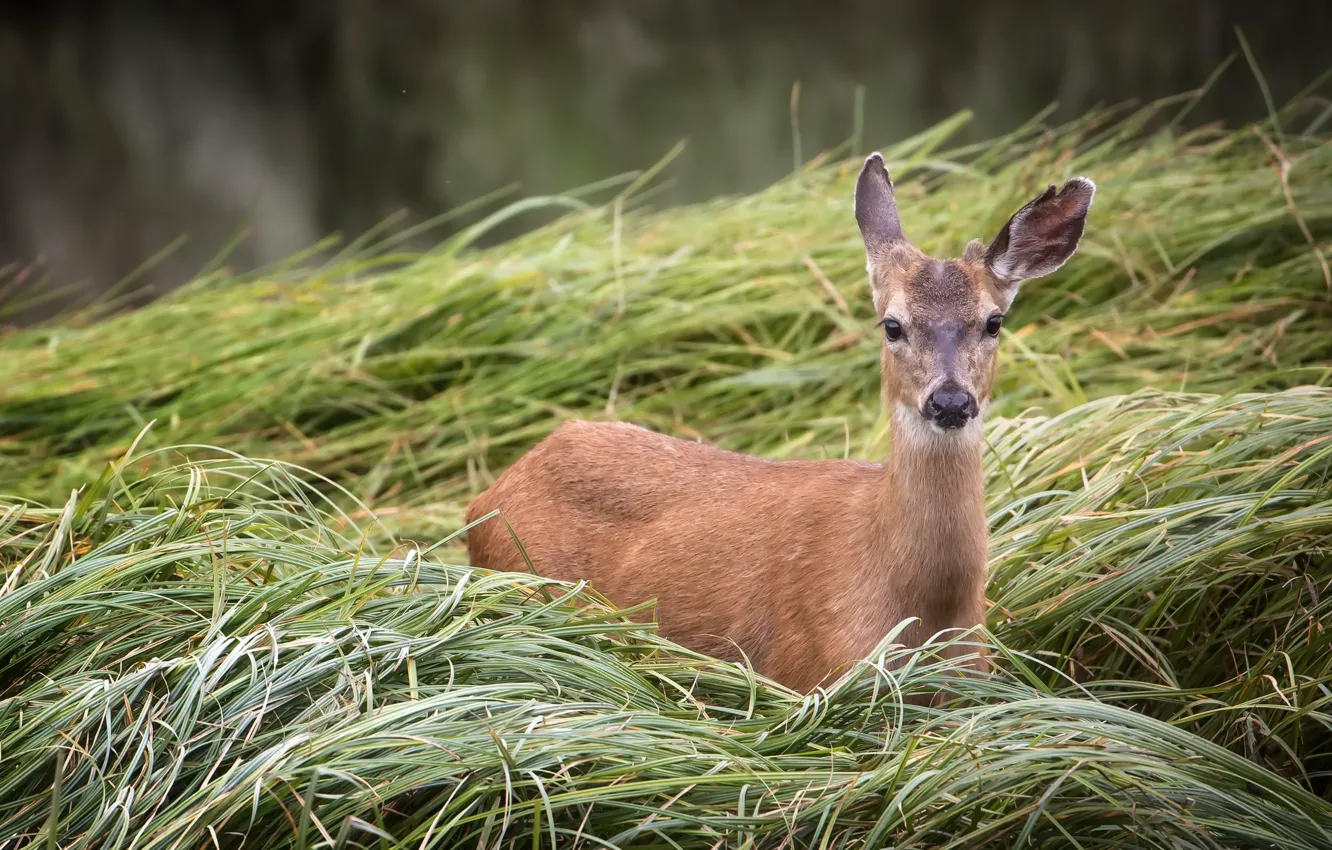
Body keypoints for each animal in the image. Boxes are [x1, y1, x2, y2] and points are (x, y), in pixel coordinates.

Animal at [466, 153, 1092, 698]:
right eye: (891, 325)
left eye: (994, 321)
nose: (951, 401)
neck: (921, 607)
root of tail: (488, 496)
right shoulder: (808, 670)